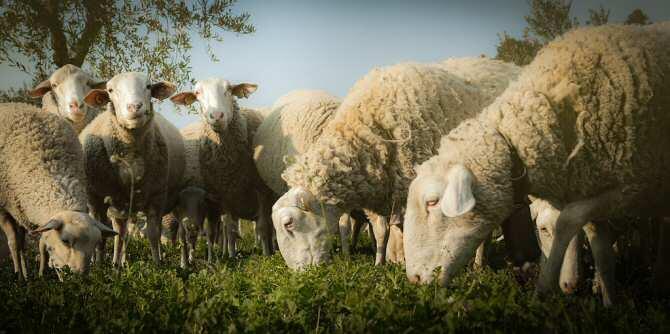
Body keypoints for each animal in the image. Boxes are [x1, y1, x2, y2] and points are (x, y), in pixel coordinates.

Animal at [0, 102, 116, 280]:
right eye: (65, 241)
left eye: (95, 243)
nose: (80, 278)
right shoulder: (3, 208)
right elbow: (12, 241)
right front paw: (19, 276)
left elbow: (42, 243)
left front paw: (41, 273)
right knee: (17, 241)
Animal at [79, 72, 185, 264]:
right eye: (110, 90)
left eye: (148, 86)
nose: (135, 106)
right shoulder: (97, 199)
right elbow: (104, 235)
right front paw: (99, 265)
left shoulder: (157, 196)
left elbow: (153, 234)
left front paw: (157, 264)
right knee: (119, 232)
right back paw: (116, 262)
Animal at [173, 77, 278, 256]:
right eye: (197, 93)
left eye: (229, 89)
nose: (216, 116)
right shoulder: (226, 195)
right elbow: (230, 230)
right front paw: (231, 255)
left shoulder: (262, 191)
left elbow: (263, 227)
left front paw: (266, 255)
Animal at [274, 57, 524, 268]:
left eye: (289, 224)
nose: (301, 273)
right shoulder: (383, 193)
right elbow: (382, 231)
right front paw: (383, 263)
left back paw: (481, 265)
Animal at [404, 22, 670, 306]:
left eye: (432, 202)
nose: (414, 279)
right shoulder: (593, 187)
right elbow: (601, 251)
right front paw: (610, 302)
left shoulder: (637, 185)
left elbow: (568, 220)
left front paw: (543, 288)